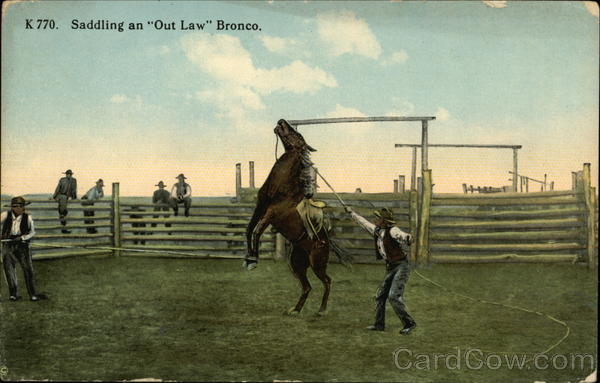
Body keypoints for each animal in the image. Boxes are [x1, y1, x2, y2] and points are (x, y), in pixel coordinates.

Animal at [241, 119, 350, 316]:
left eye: (297, 135)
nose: (281, 121)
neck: (282, 188)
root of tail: (327, 243)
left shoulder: (271, 214)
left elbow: (257, 232)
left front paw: (253, 260)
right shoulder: (260, 209)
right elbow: (249, 230)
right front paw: (248, 258)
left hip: (317, 263)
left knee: (327, 281)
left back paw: (321, 310)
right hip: (296, 264)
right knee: (307, 287)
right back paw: (295, 309)